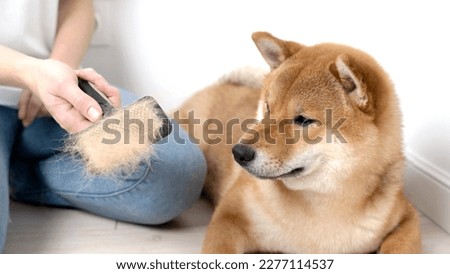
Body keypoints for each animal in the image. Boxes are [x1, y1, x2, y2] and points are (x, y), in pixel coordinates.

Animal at [177, 31, 422, 253]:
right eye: (268, 108)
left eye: (303, 120)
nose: (239, 152)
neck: (319, 207)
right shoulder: (229, 217)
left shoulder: (407, 218)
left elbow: (398, 249)